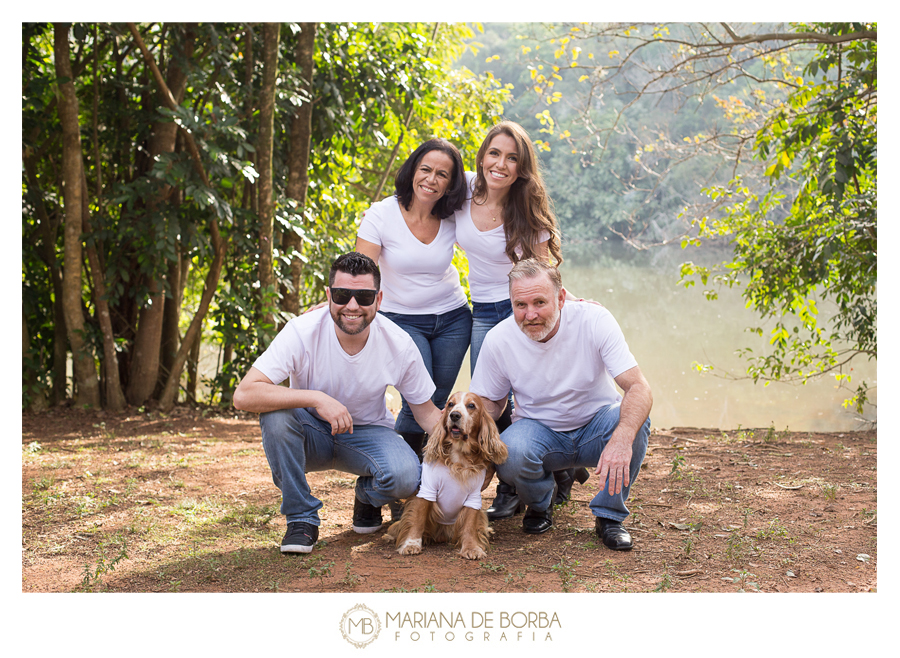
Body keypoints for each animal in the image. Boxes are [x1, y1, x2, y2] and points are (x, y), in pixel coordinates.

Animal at [388, 390, 510, 560]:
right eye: (450, 404)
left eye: (471, 406)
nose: (455, 415)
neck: (459, 457)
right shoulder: (426, 491)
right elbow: (417, 519)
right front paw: (411, 544)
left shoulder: (474, 496)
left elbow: (470, 525)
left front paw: (471, 548)